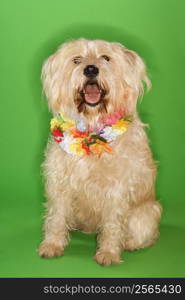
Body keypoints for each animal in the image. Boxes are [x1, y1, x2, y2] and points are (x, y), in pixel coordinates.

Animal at [38, 38, 162, 266]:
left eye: (106, 58)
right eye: (77, 59)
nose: (91, 69)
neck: (91, 132)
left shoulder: (117, 189)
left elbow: (113, 224)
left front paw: (109, 253)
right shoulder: (60, 183)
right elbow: (56, 217)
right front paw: (52, 245)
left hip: (146, 215)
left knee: (144, 235)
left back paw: (129, 244)